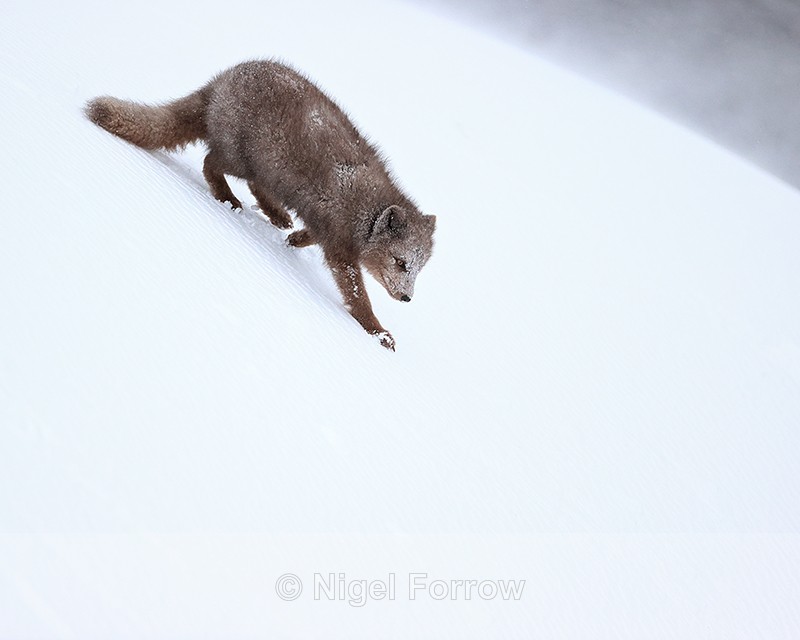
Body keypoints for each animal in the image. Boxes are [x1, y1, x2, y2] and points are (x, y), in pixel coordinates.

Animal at [85, 59, 435, 351]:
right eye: (400, 262)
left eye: (418, 268)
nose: (407, 297)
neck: (365, 212)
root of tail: (222, 80)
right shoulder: (340, 250)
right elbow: (358, 296)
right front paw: (380, 333)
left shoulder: (330, 230)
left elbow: (311, 235)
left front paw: (295, 239)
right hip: (243, 159)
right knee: (210, 163)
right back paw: (229, 200)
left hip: (264, 168)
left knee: (249, 182)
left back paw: (278, 217)